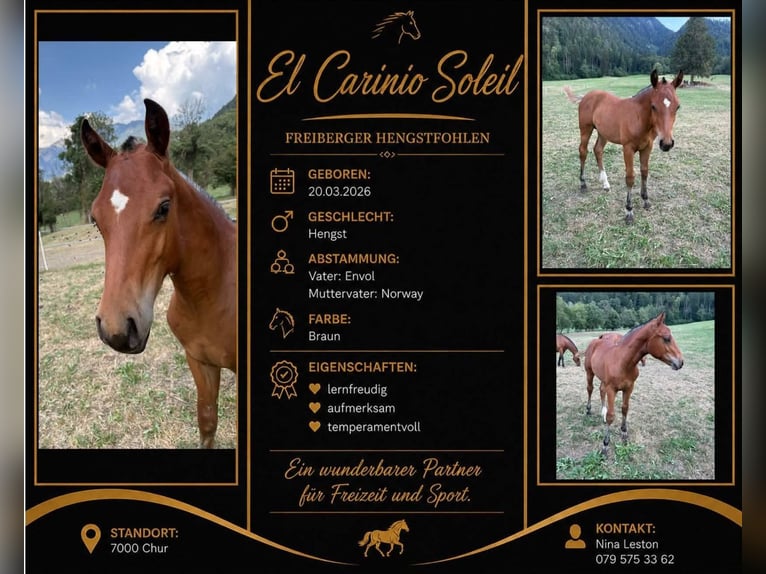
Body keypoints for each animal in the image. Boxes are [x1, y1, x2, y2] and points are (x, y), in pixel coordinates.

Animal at [564, 69, 684, 223]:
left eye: (678, 106)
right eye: (653, 106)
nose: (667, 143)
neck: (639, 118)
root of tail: (586, 96)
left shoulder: (647, 147)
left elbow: (644, 172)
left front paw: (646, 200)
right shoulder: (628, 148)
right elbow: (630, 177)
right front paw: (629, 210)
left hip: (603, 133)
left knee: (598, 150)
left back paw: (605, 184)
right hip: (586, 129)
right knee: (583, 151)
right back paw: (583, 184)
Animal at [583, 312, 683, 456]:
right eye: (666, 338)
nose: (680, 362)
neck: (623, 362)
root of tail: (595, 341)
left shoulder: (629, 387)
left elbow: (625, 408)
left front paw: (624, 434)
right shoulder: (611, 389)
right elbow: (611, 416)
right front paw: (605, 445)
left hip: (602, 378)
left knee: (600, 389)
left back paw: (602, 413)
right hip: (589, 372)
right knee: (590, 389)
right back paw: (588, 410)